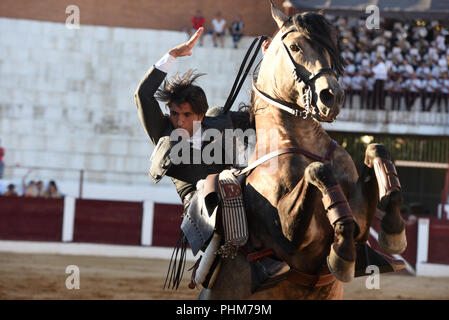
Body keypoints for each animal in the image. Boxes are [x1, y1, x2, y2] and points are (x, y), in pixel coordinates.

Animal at [198, 3, 404, 300]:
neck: (302, 144)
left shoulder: (362, 222)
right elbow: (317, 170)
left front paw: (393, 229)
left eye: (330, 48)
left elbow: (377, 149)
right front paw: (342, 254)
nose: (332, 96)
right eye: (295, 47)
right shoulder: (288, 238)